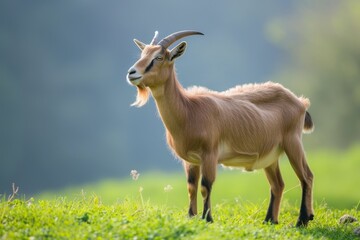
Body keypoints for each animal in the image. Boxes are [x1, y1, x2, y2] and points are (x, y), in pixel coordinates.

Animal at [126, 30, 316, 227]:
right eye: (142, 54)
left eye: (159, 57)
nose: (132, 73)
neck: (188, 110)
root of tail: (300, 101)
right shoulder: (191, 160)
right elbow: (191, 187)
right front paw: (191, 216)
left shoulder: (209, 154)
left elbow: (205, 186)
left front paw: (207, 218)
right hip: (270, 157)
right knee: (278, 184)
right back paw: (270, 220)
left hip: (293, 143)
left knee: (307, 177)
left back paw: (303, 219)